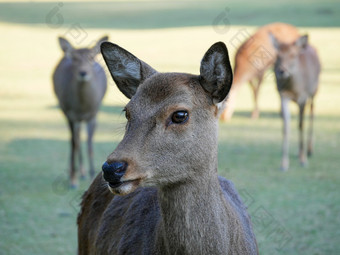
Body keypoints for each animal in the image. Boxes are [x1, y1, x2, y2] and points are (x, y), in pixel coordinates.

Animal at [52, 35, 107, 187]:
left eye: (91, 57)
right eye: (74, 58)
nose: (83, 72)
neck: (82, 106)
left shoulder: (93, 114)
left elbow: (89, 142)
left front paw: (92, 174)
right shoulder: (70, 114)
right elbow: (75, 142)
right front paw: (73, 180)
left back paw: (83, 173)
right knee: (74, 139)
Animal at [268, 32, 322, 170]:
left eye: (292, 55)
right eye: (277, 55)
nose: (281, 71)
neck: (294, 89)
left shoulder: (303, 97)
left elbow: (301, 125)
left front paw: (303, 160)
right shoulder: (282, 95)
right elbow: (286, 126)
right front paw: (283, 163)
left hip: (315, 89)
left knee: (312, 112)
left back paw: (309, 150)